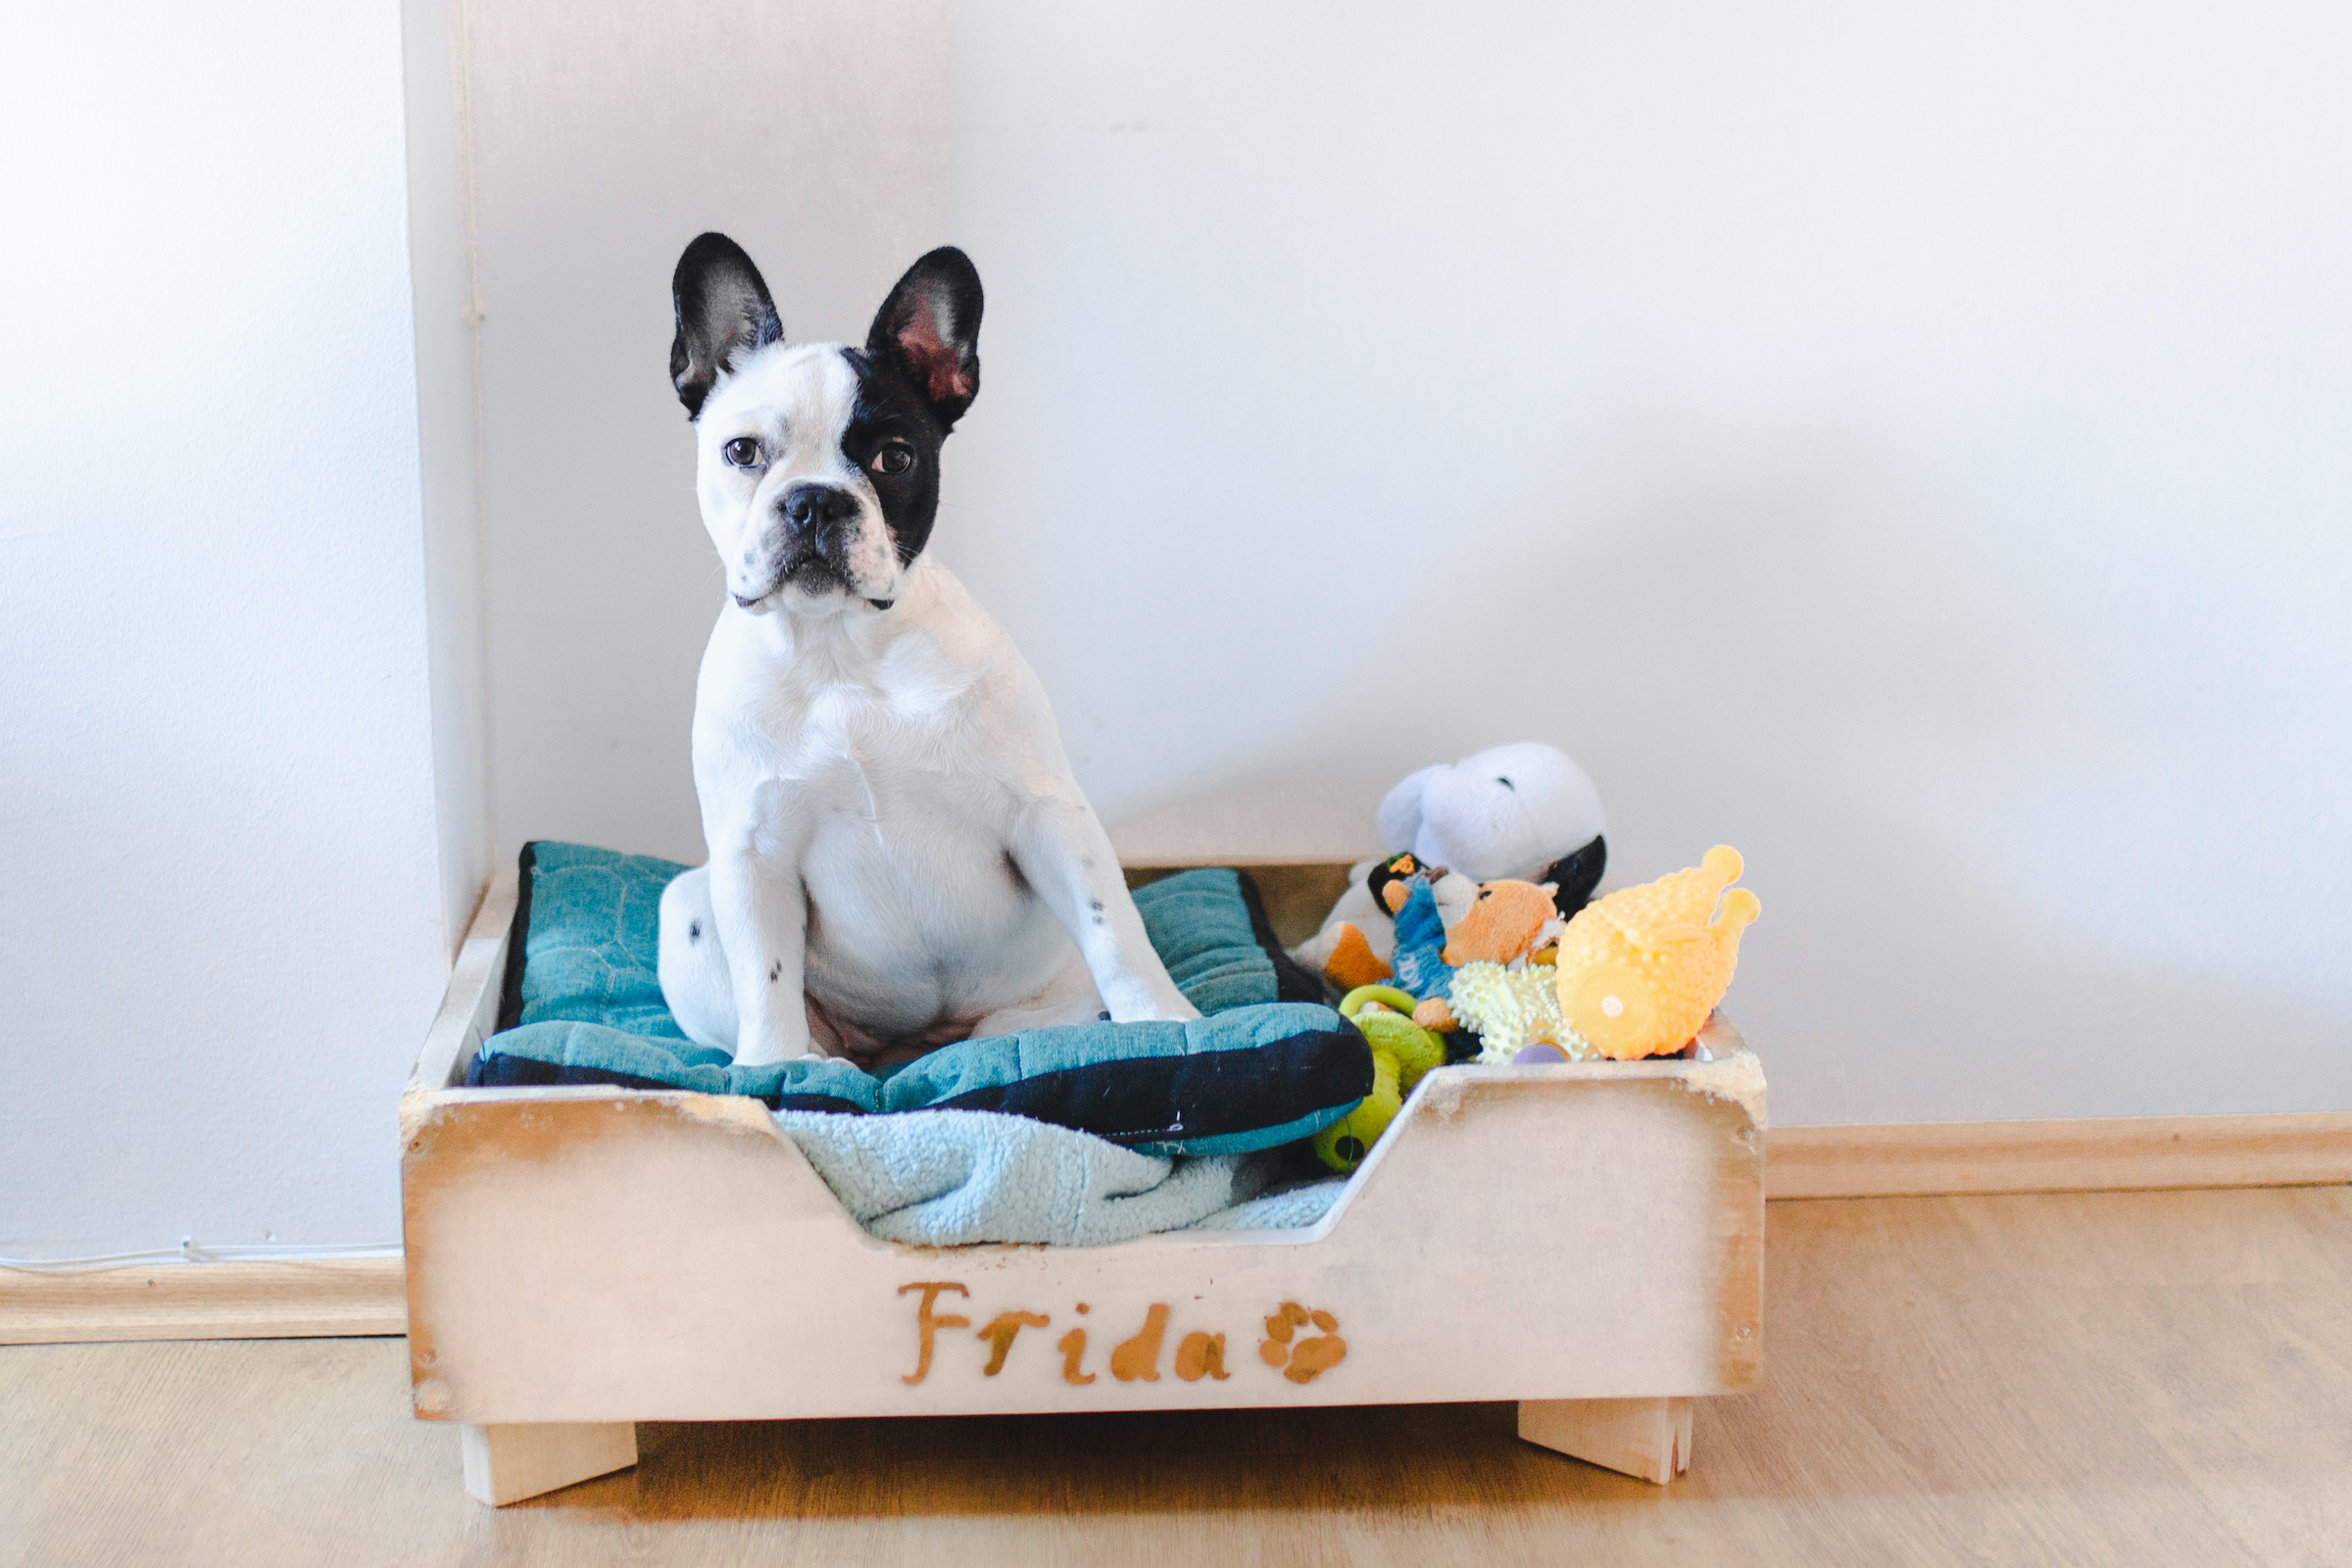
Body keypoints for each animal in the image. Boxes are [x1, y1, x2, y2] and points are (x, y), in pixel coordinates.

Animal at [654, 236, 1195, 1067]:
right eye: (741, 452)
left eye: (895, 459)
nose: (815, 500)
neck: (840, 649)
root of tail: (916, 1041)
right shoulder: (753, 852)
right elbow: (765, 975)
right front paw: (772, 1069)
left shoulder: (1046, 813)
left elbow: (1114, 929)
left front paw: (1165, 1024)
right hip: (687, 903)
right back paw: (817, 1061)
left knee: (1035, 1015)